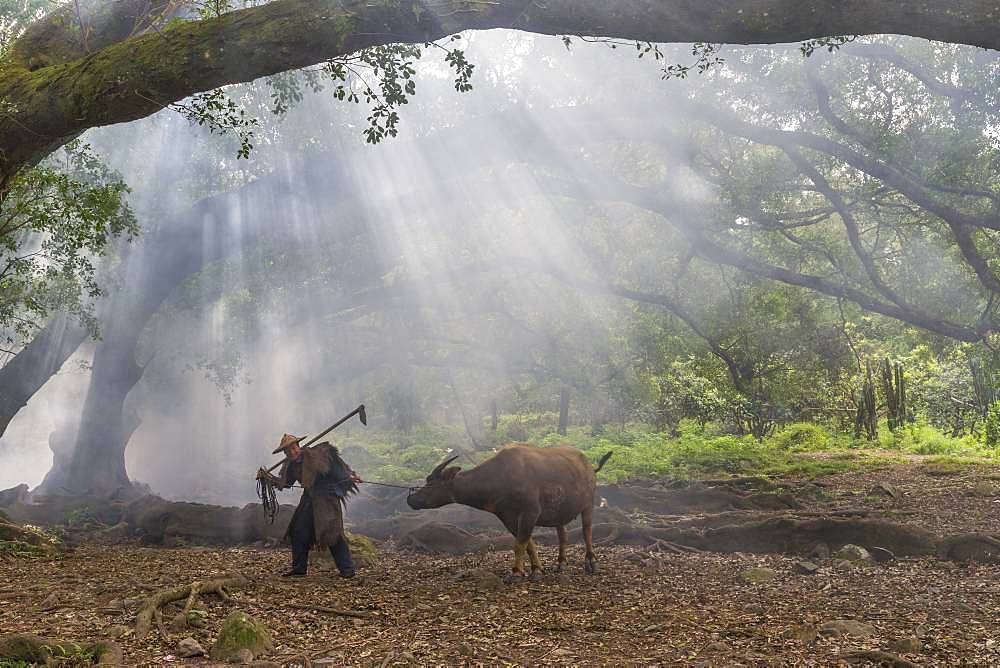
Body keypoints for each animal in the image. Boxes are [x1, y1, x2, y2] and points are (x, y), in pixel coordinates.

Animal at [404, 440, 608, 576]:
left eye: (431, 483)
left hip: (588, 504)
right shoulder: (508, 517)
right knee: (562, 535)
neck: (499, 478)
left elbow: (520, 544)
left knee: (586, 531)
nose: (411, 498)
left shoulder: (530, 512)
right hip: (559, 511)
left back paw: (591, 562)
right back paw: (561, 563)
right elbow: (527, 544)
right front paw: (536, 568)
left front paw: (517, 572)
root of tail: (589, 466)